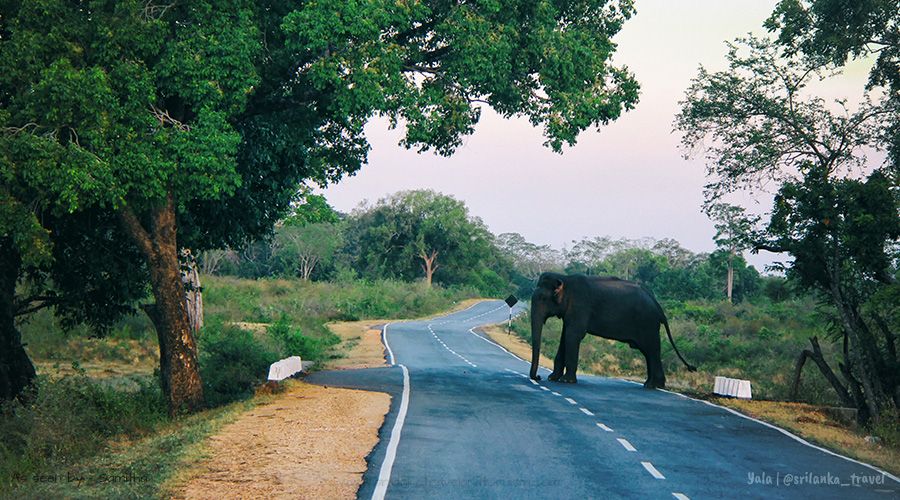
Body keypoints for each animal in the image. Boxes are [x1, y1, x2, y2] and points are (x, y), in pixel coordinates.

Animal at [528, 274, 696, 386]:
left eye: (543, 298)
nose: (538, 377)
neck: (564, 279)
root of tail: (657, 305)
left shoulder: (580, 306)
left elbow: (573, 336)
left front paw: (566, 381)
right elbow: (565, 337)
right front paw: (553, 378)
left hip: (648, 323)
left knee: (652, 350)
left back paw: (652, 385)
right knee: (649, 352)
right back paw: (652, 384)